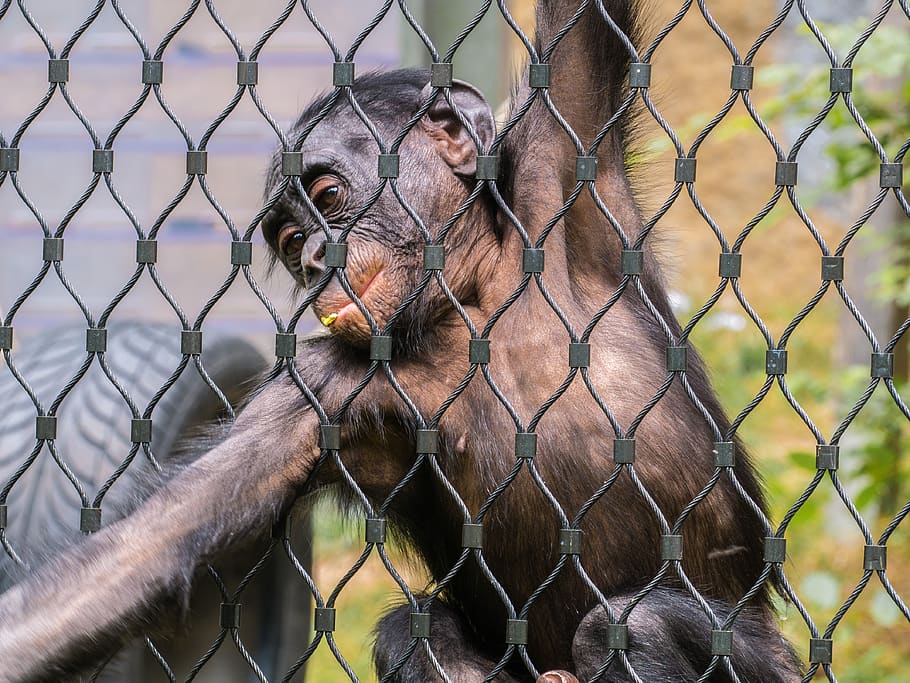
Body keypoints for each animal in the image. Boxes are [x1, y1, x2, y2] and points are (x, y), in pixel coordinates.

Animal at [0, 0, 803, 681]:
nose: (315, 259)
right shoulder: (321, 388)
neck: (466, 303)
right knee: (413, 631)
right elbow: (153, 545)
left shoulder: (563, 154)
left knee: (636, 627)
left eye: (328, 197)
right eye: (289, 240)